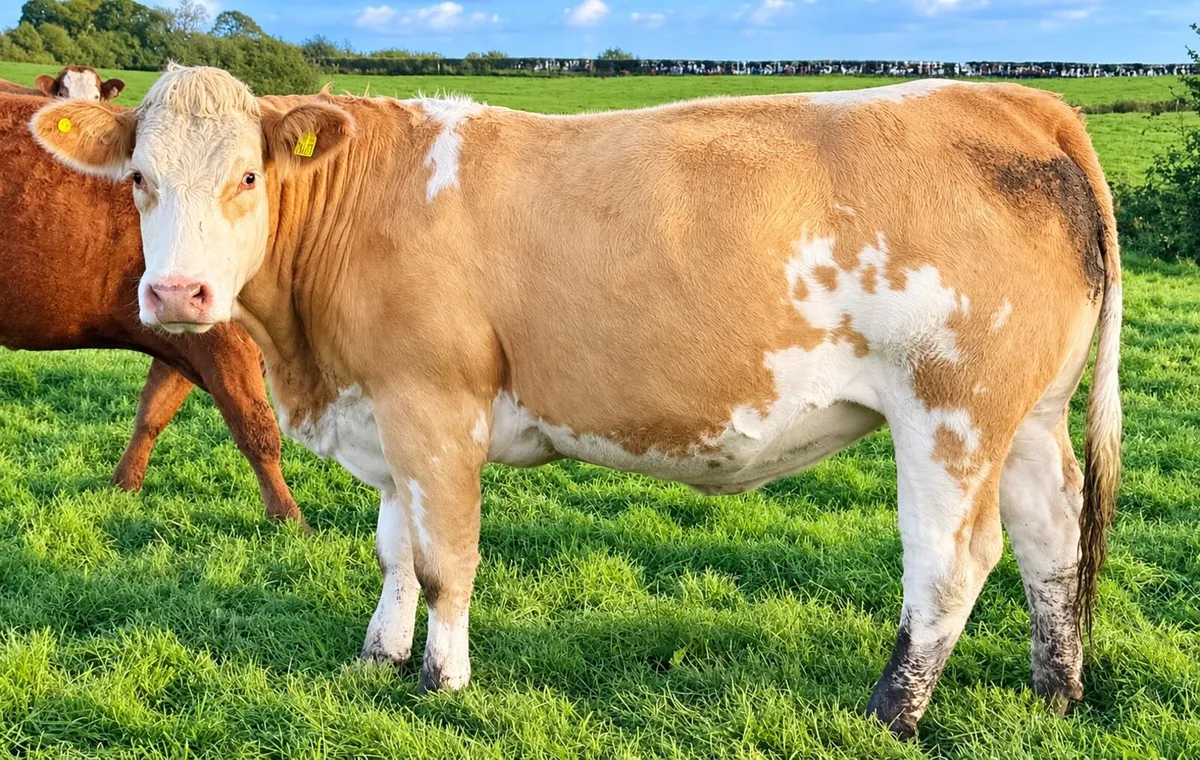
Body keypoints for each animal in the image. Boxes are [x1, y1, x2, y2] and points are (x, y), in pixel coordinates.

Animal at [0, 92, 305, 527]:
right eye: (138, 177)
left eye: (249, 177)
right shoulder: (225, 339)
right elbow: (257, 429)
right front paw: (290, 519)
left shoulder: (181, 323)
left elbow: (152, 412)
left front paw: (124, 483)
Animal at [31, 66, 1123, 739]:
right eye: (139, 177)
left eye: (250, 175)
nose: (178, 295)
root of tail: (1016, 101)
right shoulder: (381, 412)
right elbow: (393, 550)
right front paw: (376, 659)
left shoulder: (435, 406)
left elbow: (445, 557)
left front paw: (441, 680)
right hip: (1028, 415)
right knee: (1051, 537)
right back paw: (1055, 692)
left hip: (951, 408)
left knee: (951, 561)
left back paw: (890, 712)